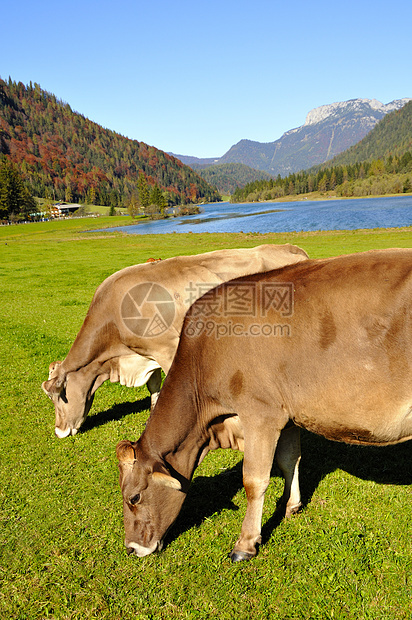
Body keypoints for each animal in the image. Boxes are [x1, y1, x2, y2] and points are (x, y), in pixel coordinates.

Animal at [42, 245, 308, 438]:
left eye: (58, 396)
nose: (59, 431)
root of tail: (291, 248)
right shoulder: (147, 354)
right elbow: (154, 386)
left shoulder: (167, 349)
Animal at [116, 248, 412, 560]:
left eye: (133, 497)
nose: (132, 548)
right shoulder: (289, 416)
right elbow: (289, 460)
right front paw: (291, 505)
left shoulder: (260, 414)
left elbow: (254, 480)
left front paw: (245, 543)